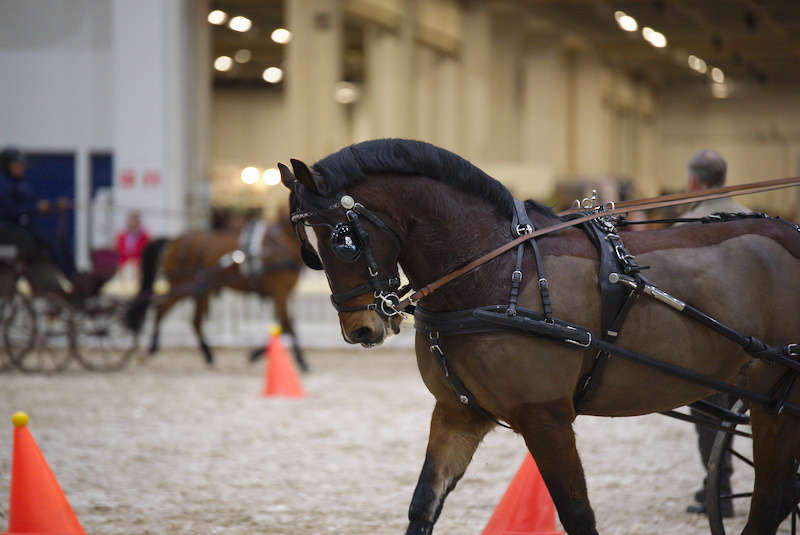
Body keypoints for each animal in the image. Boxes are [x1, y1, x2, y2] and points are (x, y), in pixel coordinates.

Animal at [124, 212, 309, 370]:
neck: (283, 241)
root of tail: (174, 241)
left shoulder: (282, 295)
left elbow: (285, 325)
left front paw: (256, 354)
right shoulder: (280, 292)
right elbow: (288, 325)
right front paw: (301, 361)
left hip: (199, 290)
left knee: (194, 321)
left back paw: (208, 355)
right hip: (183, 286)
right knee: (161, 310)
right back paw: (152, 347)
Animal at [279, 139, 800, 535]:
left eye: (344, 240)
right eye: (310, 248)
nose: (360, 328)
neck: (496, 273)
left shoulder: (545, 417)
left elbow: (578, 515)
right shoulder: (458, 414)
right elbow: (423, 505)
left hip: (774, 403)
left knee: (772, 499)